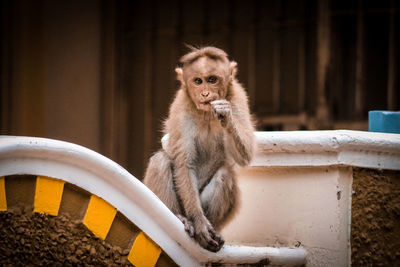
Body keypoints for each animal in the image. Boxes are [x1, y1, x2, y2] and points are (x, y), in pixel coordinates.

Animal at [144, 46, 255, 253]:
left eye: (212, 79)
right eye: (197, 81)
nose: (204, 94)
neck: (206, 114)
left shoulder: (238, 98)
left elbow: (246, 156)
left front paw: (226, 115)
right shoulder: (180, 107)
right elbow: (184, 163)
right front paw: (200, 224)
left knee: (224, 174)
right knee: (160, 161)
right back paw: (183, 219)